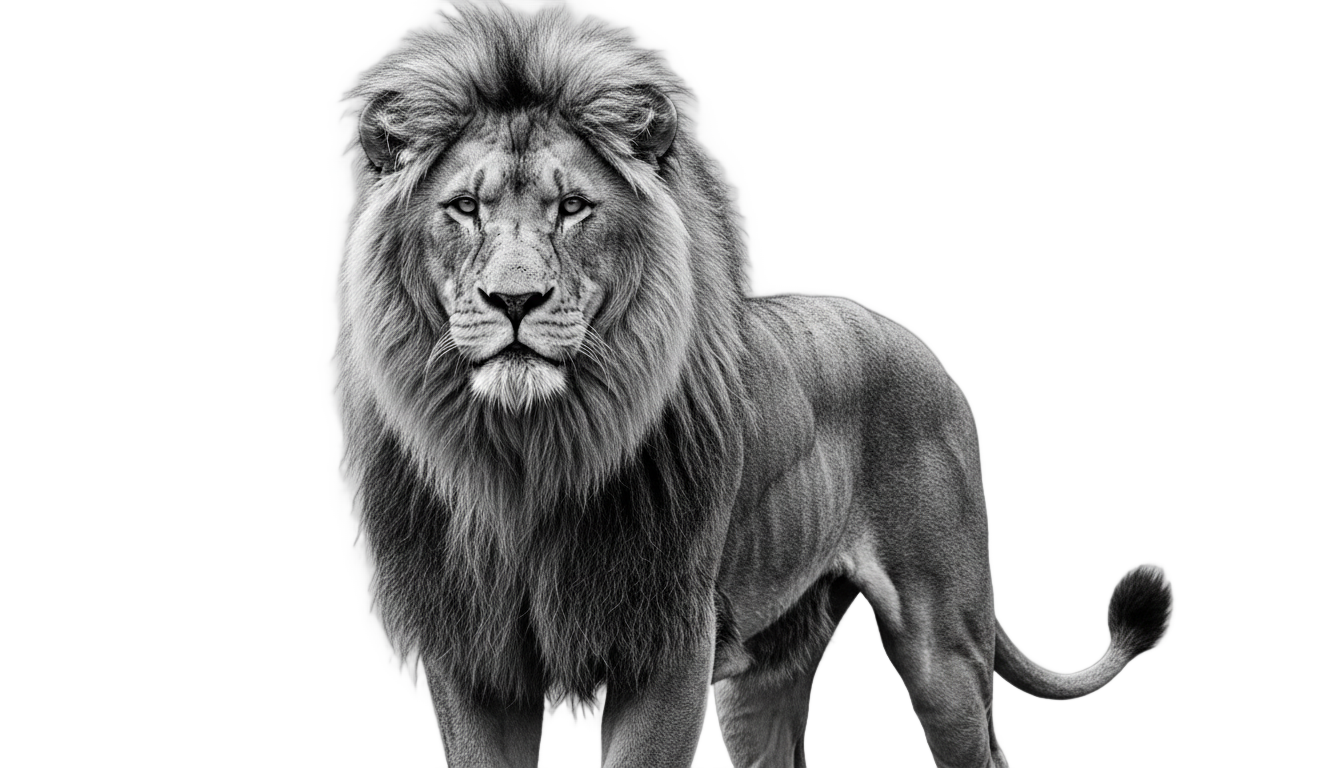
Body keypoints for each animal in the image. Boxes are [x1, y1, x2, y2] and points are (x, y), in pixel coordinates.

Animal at [337, 9, 1171, 767]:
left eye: (572, 207)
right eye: (464, 208)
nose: (516, 301)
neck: (530, 448)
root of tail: (914, 345)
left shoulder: (669, 642)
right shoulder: (473, 655)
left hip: (943, 643)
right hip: (769, 667)